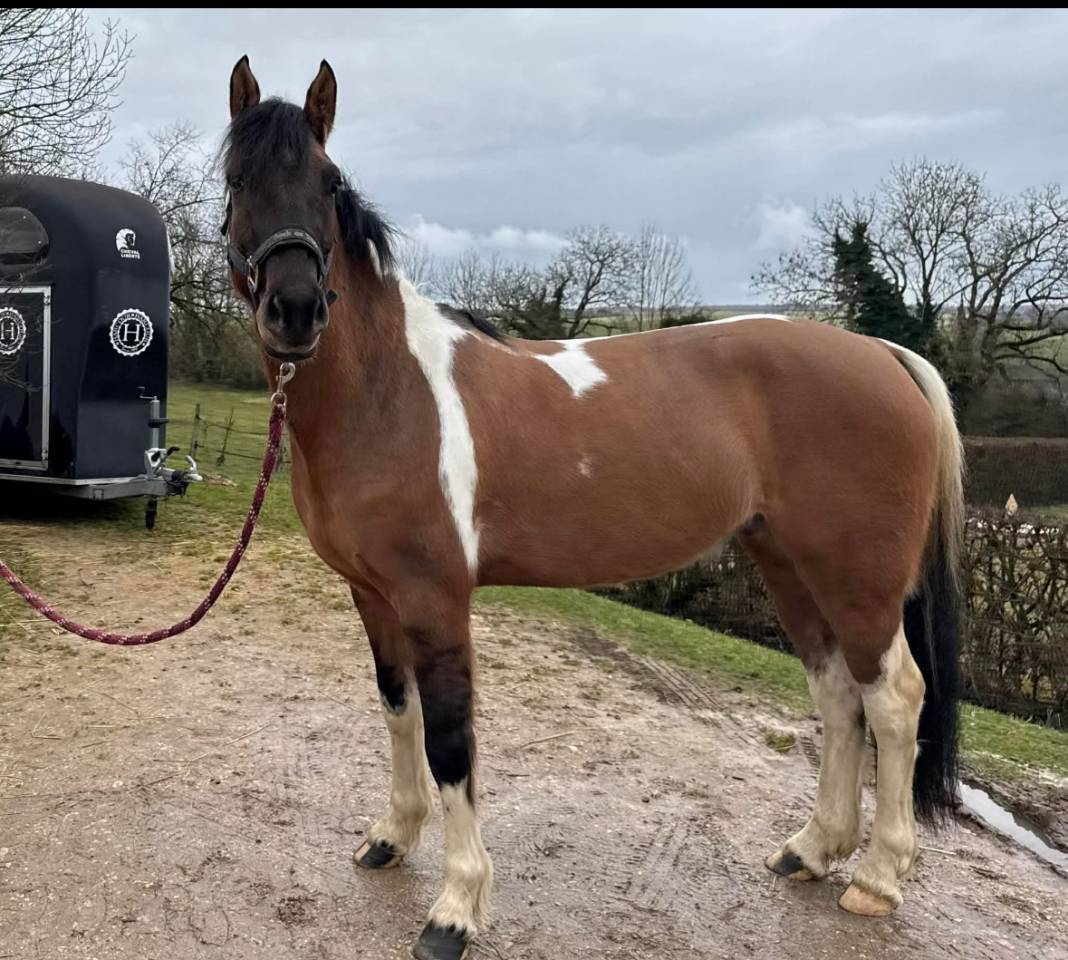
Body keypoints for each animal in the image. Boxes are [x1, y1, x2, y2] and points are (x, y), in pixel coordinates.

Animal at [222, 56, 963, 960]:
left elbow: (451, 739)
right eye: (237, 180)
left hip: (858, 581)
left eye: (328, 183)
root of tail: (885, 354)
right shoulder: (372, 595)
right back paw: (812, 850)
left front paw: (456, 908)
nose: (295, 311)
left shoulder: (436, 600)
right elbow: (399, 711)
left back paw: (878, 878)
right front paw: (391, 837)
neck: (389, 392)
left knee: (893, 700)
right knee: (837, 697)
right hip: (791, 568)